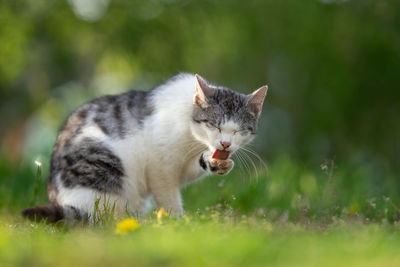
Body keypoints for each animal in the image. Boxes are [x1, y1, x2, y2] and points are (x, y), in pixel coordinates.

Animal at [21, 74, 268, 224]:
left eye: (238, 131)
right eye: (214, 125)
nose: (225, 144)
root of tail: (61, 201)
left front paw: (216, 162)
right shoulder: (159, 164)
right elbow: (168, 196)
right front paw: (177, 224)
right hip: (103, 168)